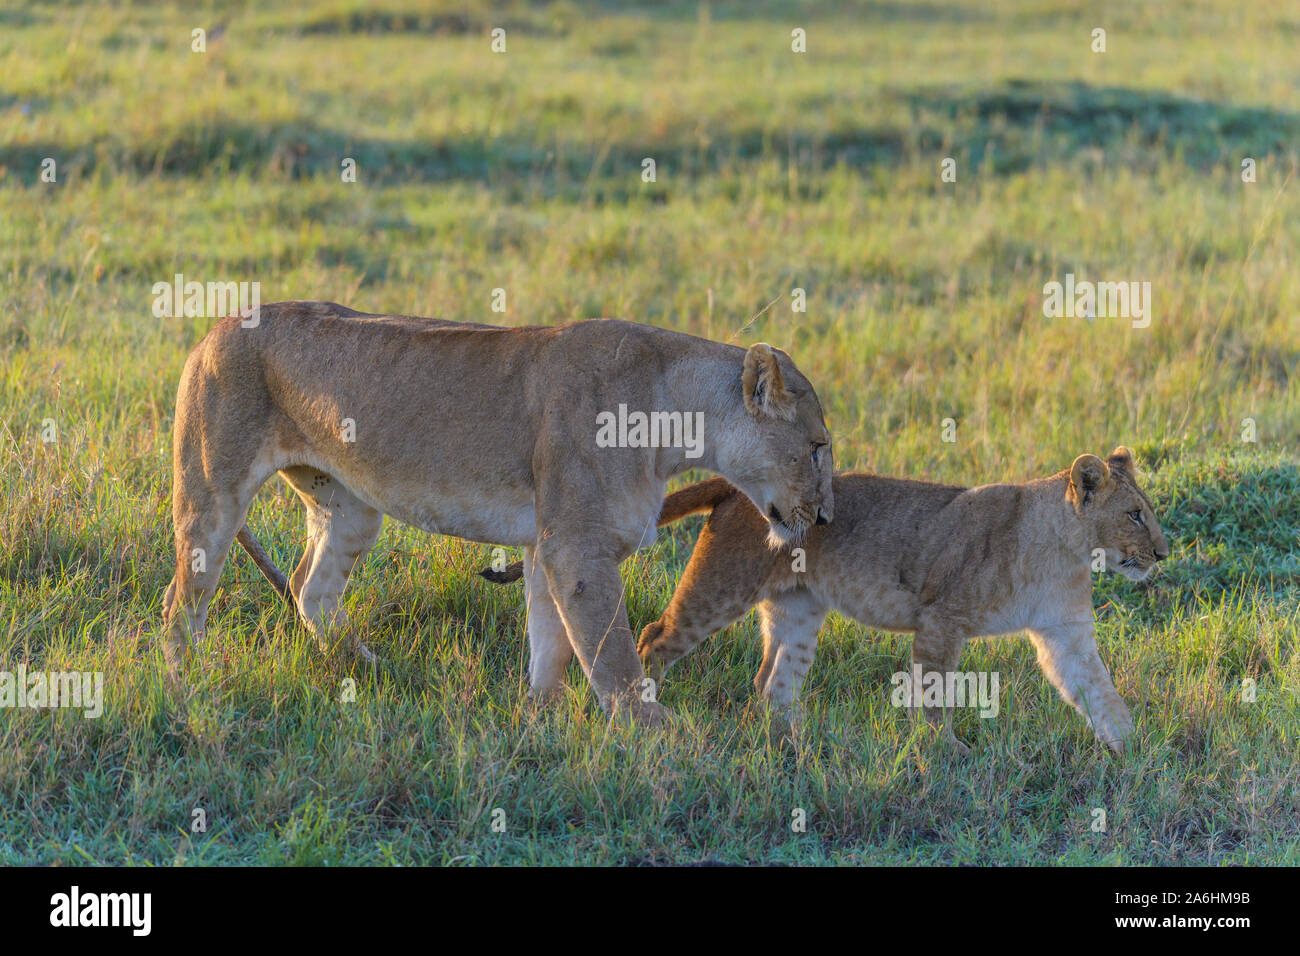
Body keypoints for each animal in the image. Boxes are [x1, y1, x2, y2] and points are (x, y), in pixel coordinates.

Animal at [163, 301, 834, 726]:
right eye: (817, 447)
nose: (826, 518)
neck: (676, 417)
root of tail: (219, 323)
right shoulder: (576, 547)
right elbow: (610, 649)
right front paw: (651, 727)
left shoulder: (547, 544)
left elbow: (552, 641)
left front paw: (541, 715)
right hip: (213, 490)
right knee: (182, 600)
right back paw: (186, 686)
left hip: (349, 507)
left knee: (311, 587)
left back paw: (369, 668)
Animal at [486, 447, 1166, 750]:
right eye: (1135, 514)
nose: (1163, 554)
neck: (1066, 550)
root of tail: (733, 488)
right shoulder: (940, 620)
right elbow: (933, 697)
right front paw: (942, 754)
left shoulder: (1066, 634)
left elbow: (1100, 692)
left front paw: (1134, 752)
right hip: (718, 592)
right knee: (653, 640)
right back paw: (649, 721)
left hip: (798, 611)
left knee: (771, 682)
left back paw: (791, 742)